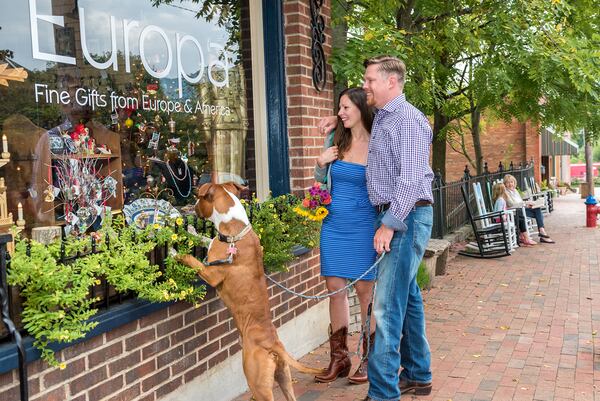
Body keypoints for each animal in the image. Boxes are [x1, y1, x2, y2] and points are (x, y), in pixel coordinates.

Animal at [176, 182, 326, 400]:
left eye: (199, 198)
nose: (191, 208)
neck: (235, 232)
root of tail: (273, 344)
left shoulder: (212, 274)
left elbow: (193, 260)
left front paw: (176, 253)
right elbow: (205, 238)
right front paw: (191, 230)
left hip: (257, 382)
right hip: (283, 375)